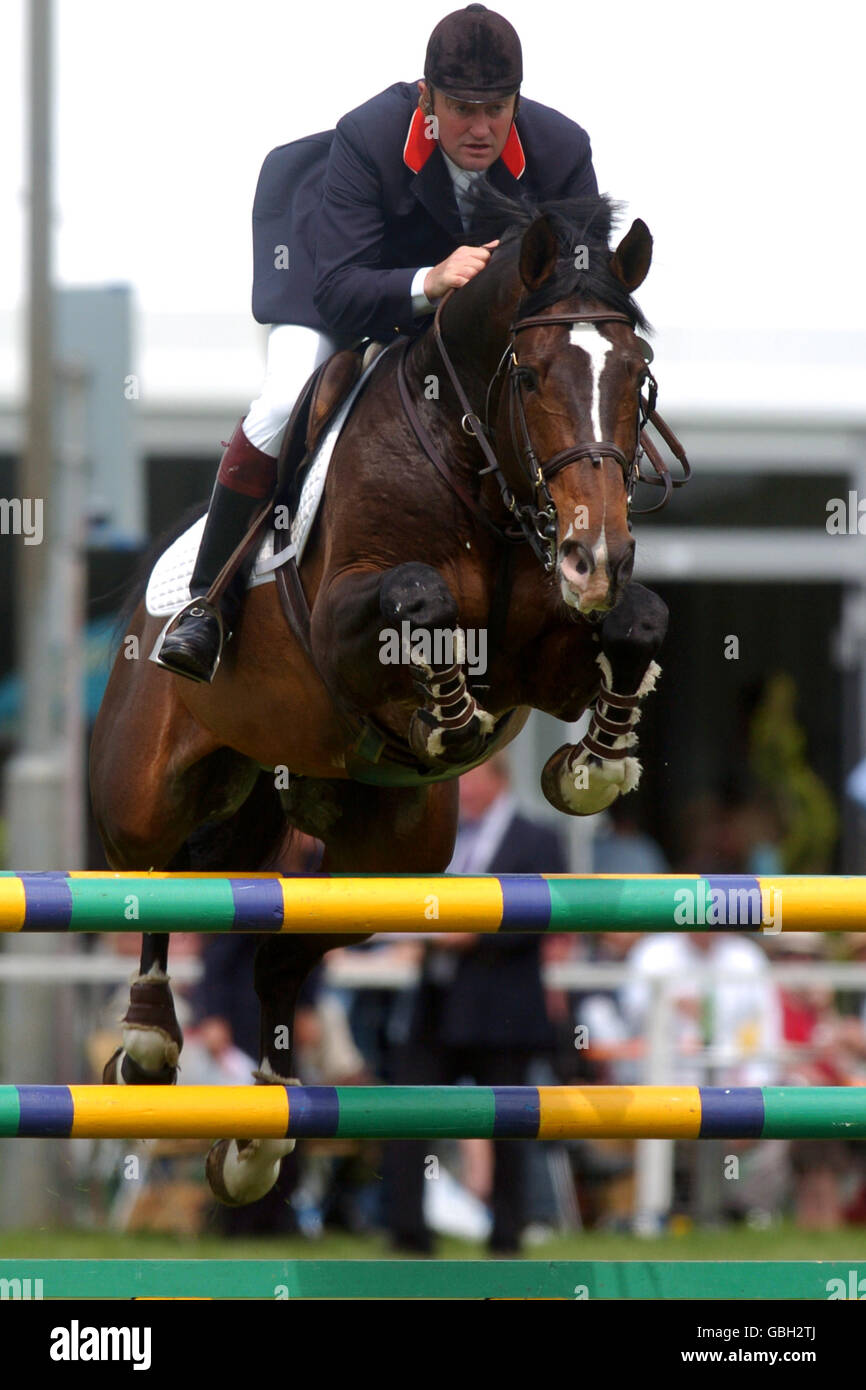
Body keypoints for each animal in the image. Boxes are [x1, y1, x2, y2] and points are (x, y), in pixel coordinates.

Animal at [93, 187, 678, 1206]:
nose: (593, 553)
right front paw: (451, 719)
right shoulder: (342, 628)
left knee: (280, 951)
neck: (478, 466)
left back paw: (253, 1141)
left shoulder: (550, 657)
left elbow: (637, 624)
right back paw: (148, 1038)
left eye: (637, 374)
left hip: (394, 856)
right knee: (154, 879)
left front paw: (592, 766)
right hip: (144, 791)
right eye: (531, 375)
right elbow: (420, 599)